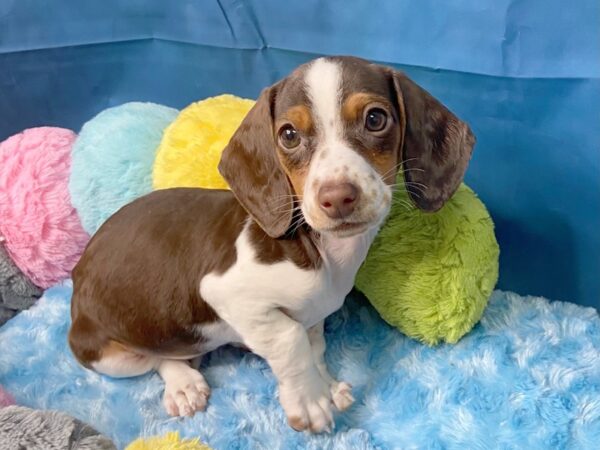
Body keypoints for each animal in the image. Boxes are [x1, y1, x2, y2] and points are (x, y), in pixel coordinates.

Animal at [69, 56, 474, 432]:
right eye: (289, 134)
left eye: (375, 118)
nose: (337, 198)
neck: (326, 254)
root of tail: (77, 271)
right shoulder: (227, 293)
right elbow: (290, 339)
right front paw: (310, 402)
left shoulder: (313, 317)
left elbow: (314, 347)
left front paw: (325, 386)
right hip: (104, 353)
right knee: (155, 358)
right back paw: (183, 383)